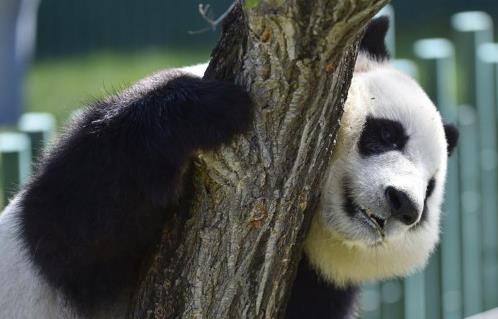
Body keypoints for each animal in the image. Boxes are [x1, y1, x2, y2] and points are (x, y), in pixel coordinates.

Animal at [0, 16, 460, 319]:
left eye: (431, 189)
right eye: (386, 134)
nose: (404, 205)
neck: (314, 228)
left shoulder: (321, 284)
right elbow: (77, 224)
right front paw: (214, 109)